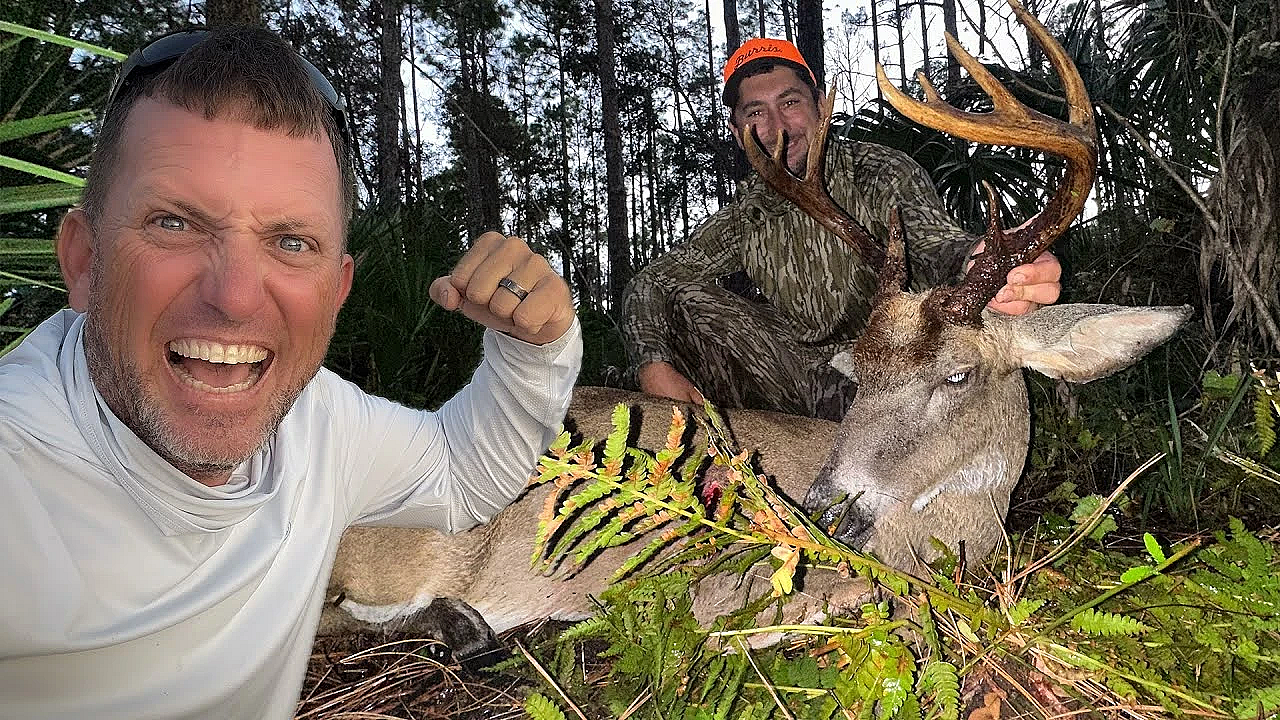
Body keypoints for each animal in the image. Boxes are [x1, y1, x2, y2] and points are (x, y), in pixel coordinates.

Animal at [320, 0, 1190, 660]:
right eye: (857, 376)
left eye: (958, 373)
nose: (825, 508)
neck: (951, 534)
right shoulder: (729, 586)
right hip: (419, 542)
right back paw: (470, 625)